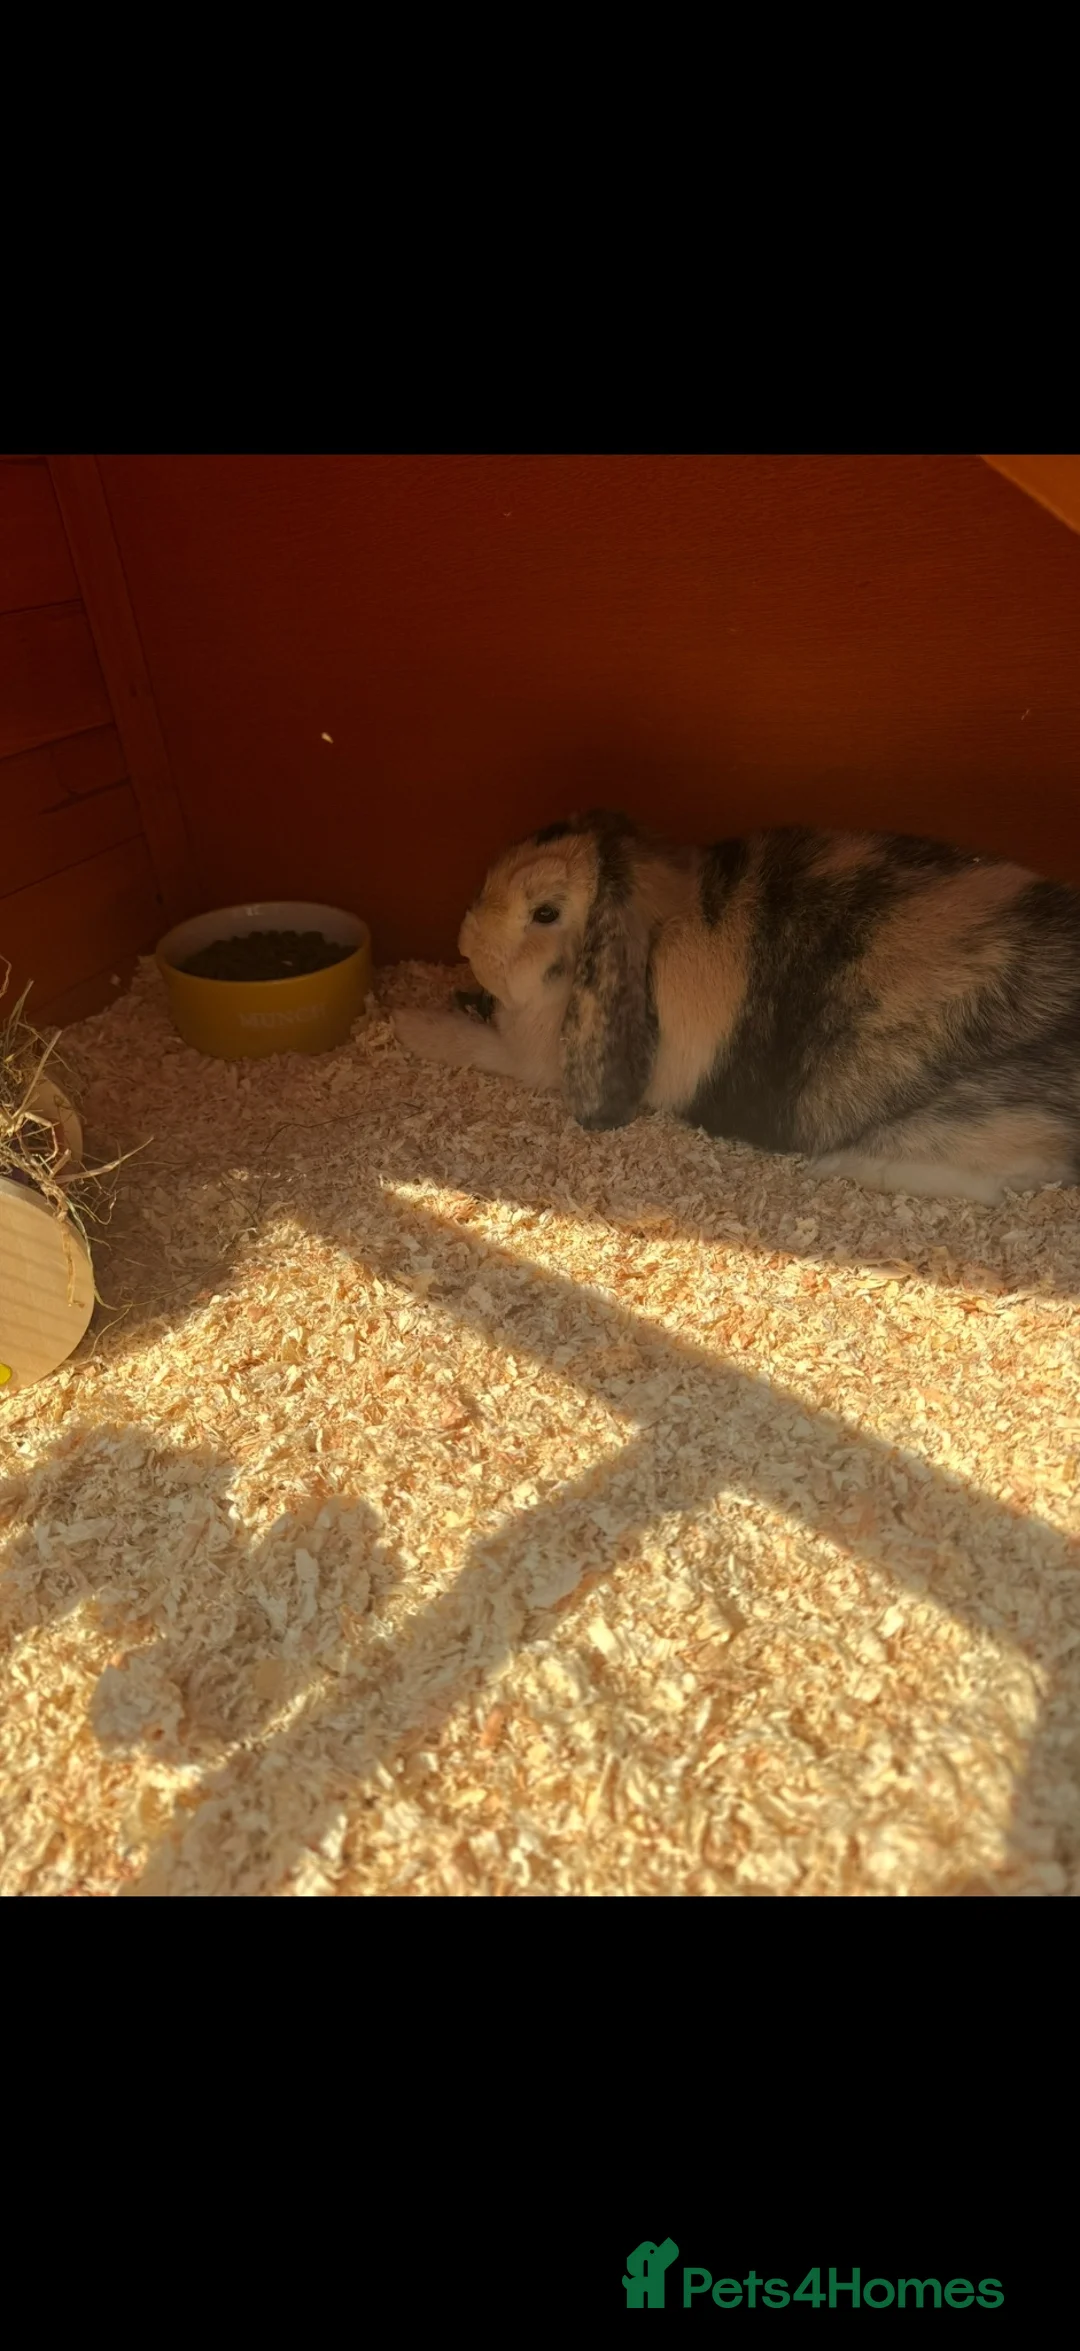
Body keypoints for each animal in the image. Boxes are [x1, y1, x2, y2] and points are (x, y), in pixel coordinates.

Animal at [391, 809, 1080, 1204]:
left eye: (545, 912)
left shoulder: (532, 1058)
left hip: (978, 1119)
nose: (465, 941)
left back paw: (835, 1165)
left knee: (1008, 1178)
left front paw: (405, 1024)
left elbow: (475, 1044)